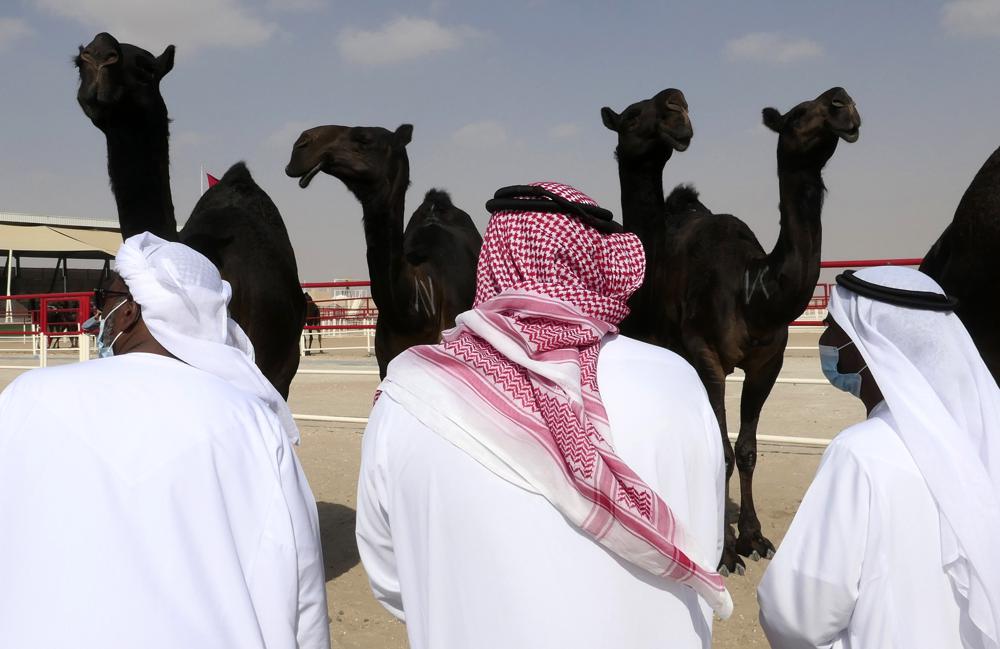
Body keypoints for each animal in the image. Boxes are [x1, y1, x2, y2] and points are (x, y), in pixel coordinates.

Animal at [604, 86, 864, 572]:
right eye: (798, 114)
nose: (843, 103)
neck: (754, 290)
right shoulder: (706, 355)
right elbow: (720, 450)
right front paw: (723, 550)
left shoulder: (768, 362)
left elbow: (746, 449)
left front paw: (754, 537)